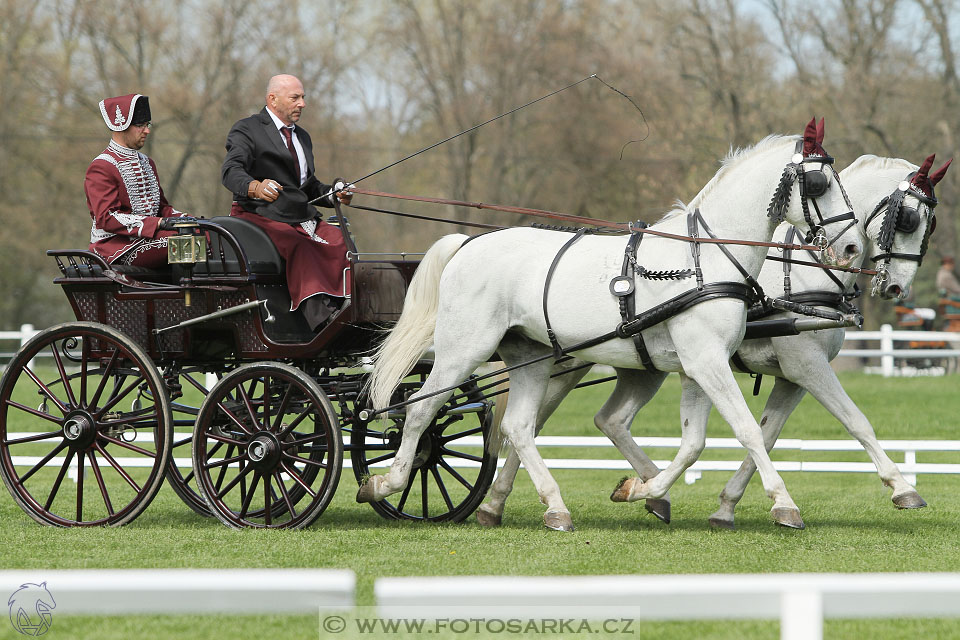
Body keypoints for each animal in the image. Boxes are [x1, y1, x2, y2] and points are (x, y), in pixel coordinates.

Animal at [362, 120, 864, 528]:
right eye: (819, 182)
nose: (854, 248)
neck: (704, 257)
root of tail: (468, 243)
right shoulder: (707, 362)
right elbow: (746, 430)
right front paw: (784, 503)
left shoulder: (701, 365)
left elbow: (695, 442)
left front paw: (642, 489)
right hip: (461, 351)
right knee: (422, 411)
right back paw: (385, 483)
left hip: (531, 357)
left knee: (520, 427)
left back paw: (555, 508)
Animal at [476, 151, 948, 528]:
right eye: (909, 219)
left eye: (929, 225)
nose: (897, 288)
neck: (804, 270)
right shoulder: (806, 366)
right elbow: (856, 421)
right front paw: (902, 488)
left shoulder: (790, 378)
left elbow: (765, 436)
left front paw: (727, 506)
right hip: (568, 364)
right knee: (530, 425)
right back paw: (504, 503)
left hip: (640, 367)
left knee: (604, 420)